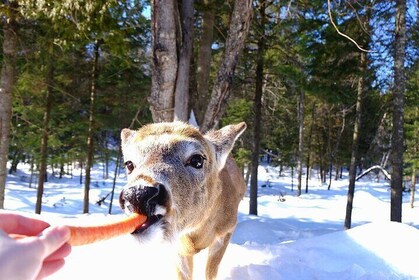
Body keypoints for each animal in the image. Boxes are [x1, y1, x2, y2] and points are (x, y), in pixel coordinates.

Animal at [119, 122, 246, 280]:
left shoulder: (227, 229)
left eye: (197, 160)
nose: (138, 194)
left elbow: (210, 272)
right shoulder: (177, 247)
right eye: (129, 164)